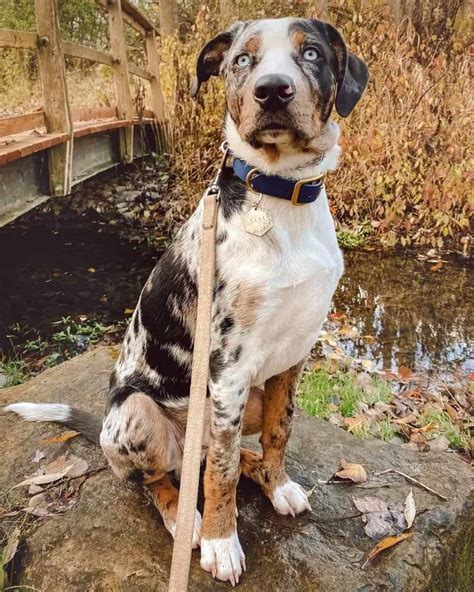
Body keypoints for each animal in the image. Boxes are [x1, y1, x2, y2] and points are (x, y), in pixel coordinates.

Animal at [8, 16, 370, 584]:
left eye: (311, 53)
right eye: (242, 60)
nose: (272, 90)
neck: (280, 193)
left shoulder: (291, 358)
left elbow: (280, 430)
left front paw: (279, 483)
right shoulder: (227, 368)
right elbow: (221, 473)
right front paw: (223, 542)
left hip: (246, 399)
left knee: (226, 455)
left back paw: (257, 475)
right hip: (137, 413)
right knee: (164, 478)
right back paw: (186, 520)